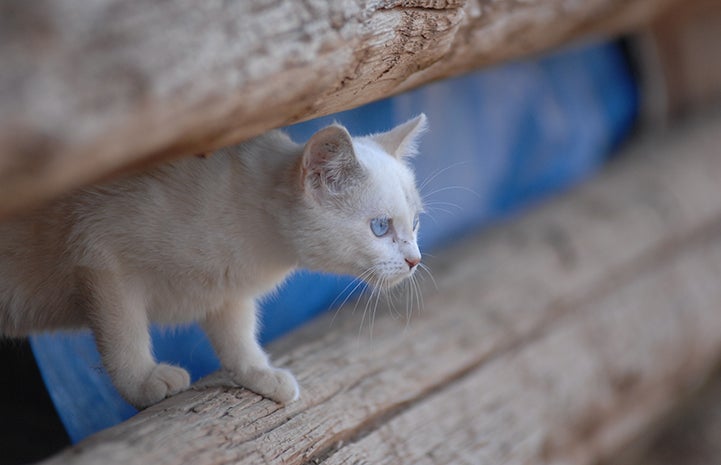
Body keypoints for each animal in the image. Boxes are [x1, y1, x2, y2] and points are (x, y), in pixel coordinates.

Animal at [0, 114, 428, 408]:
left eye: (415, 223)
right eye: (380, 227)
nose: (414, 260)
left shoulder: (228, 289)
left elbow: (237, 335)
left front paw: (259, 374)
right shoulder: (101, 258)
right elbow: (124, 335)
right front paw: (142, 384)